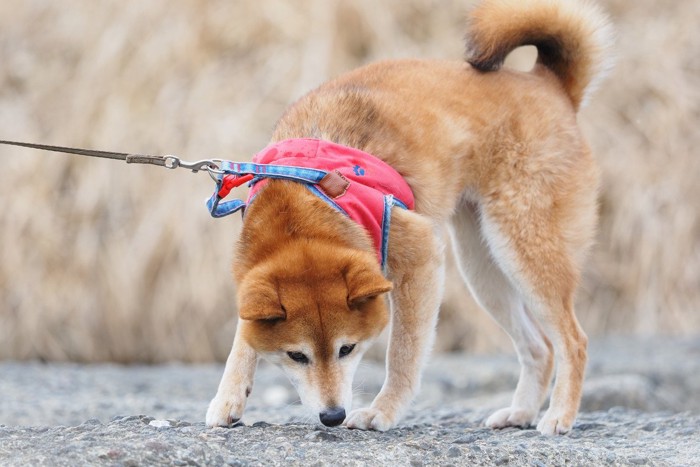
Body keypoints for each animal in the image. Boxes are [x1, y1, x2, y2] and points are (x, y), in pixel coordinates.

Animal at [206, 0, 612, 436]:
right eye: (295, 356)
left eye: (347, 349)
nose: (333, 416)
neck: (303, 199)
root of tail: (547, 83)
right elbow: (242, 341)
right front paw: (228, 397)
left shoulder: (419, 256)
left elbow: (402, 353)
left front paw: (382, 411)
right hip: (483, 268)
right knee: (541, 346)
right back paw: (520, 412)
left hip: (523, 251)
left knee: (574, 341)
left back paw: (559, 415)